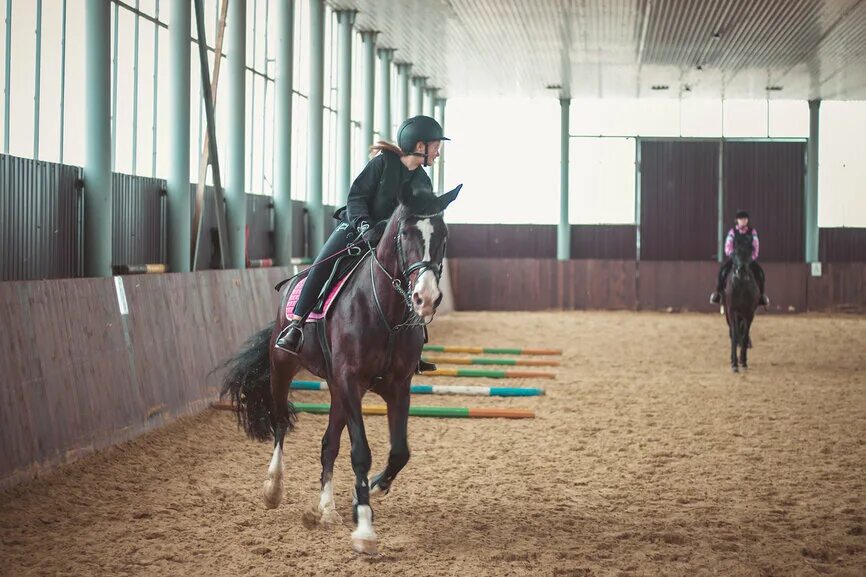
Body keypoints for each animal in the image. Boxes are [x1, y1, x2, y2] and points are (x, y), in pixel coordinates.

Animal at [221, 184, 460, 552]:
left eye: (444, 236)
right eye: (405, 233)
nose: (426, 298)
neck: (386, 313)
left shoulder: (397, 385)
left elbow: (399, 452)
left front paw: (369, 491)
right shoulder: (350, 381)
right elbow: (360, 452)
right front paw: (364, 528)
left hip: (335, 389)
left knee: (328, 444)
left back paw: (326, 508)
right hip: (284, 368)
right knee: (280, 423)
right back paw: (273, 488)